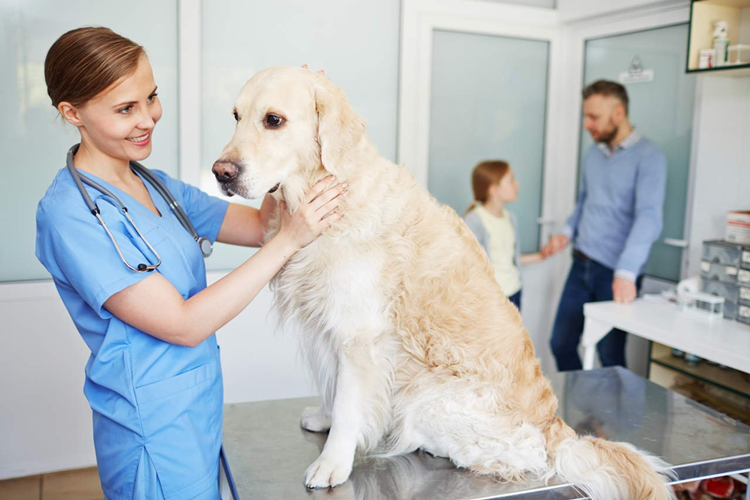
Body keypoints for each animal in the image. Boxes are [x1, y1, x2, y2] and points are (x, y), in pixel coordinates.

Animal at [210, 67, 676, 500]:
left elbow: (347, 403)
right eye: (234, 116)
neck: (328, 190)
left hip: (429, 396)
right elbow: (336, 391)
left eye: (274, 120)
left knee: (525, 456)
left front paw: (332, 463)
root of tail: (556, 428)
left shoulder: (360, 335)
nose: (220, 172)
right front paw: (323, 420)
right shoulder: (331, 327)